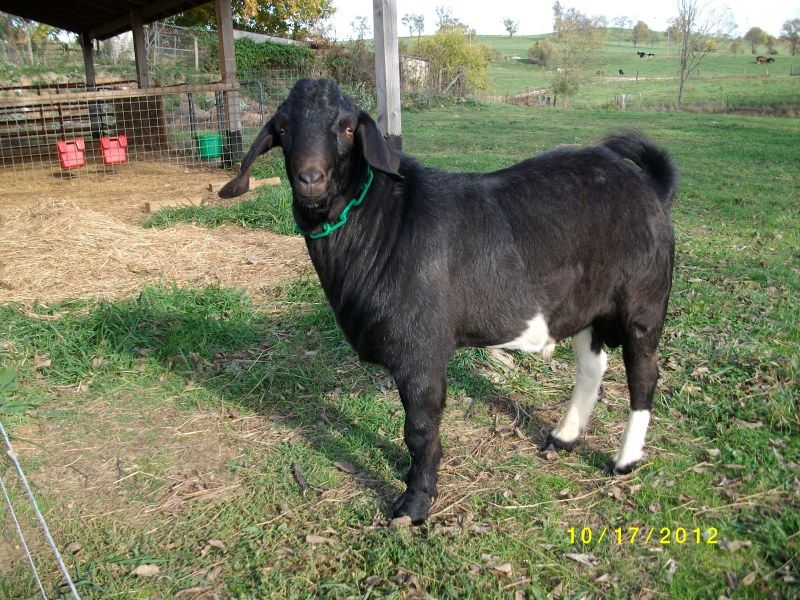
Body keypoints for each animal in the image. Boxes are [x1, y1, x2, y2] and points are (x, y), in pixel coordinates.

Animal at [219, 78, 678, 524]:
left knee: (643, 376)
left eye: (348, 127)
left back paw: (625, 460)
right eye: (282, 129)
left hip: (644, 302)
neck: (381, 224)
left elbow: (420, 430)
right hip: (586, 307)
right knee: (591, 367)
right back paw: (564, 436)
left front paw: (414, 504)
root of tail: (649, 187)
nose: (310, 178)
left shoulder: (421, 352)